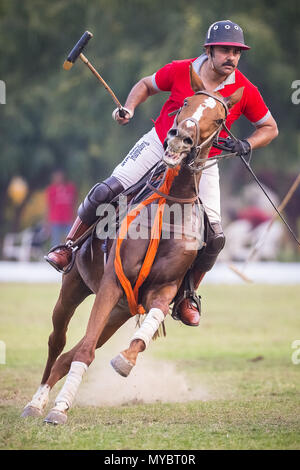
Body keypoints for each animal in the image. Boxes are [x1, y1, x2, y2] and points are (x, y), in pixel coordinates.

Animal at [21, 64, 244, 424]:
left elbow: (147, 325)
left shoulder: (161, 291)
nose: (179, 139)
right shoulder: (112, 282)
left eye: (220, 118)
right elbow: (83, 349)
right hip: (76, 286)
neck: (171, 206)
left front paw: (125, 359)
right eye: (184, 103)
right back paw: (37, 402)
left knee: (72, 351)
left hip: (120, 310)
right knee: (59, 341)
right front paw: (57, 411)